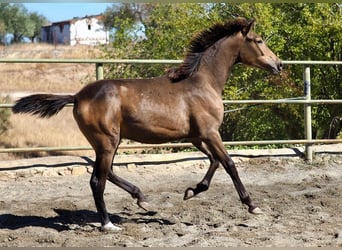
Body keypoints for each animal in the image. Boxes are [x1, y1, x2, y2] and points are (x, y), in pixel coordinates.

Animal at [12, 18, 282, 232]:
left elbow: (214, 162)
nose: (279, 64)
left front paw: (191, 191)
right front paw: (252, 205)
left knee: (107, 172)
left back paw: (142, 198)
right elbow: (229, 164)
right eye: (258, 40)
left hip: (111, 141)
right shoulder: (210, 133)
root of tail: (77, 96)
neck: (203, 83)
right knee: (97, 180)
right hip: (107, 141)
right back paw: (109, 224)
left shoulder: (196, 136)